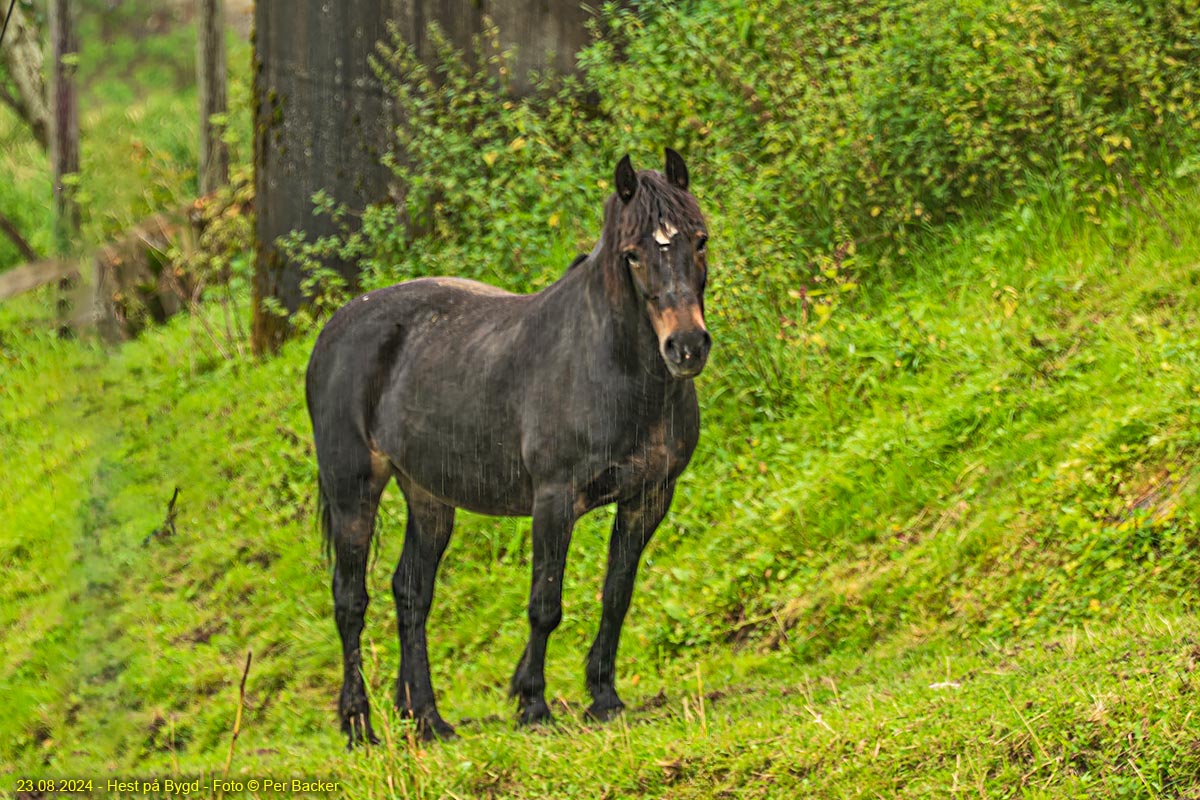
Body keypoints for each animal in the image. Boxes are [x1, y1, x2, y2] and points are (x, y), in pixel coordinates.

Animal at [304, 148, 710, 743]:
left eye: (699, 241)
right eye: (632, 255)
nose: (686, 347)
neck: (609, 367)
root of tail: (334, 328)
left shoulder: (649, 498)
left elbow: (616, 595)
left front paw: (604, 697)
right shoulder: (554, 500)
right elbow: (545, 603)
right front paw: (533, 703)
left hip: (428, 496)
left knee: (411, 593)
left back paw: (427, 719)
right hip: (353, 488)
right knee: (350, 600)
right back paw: (359, 725)